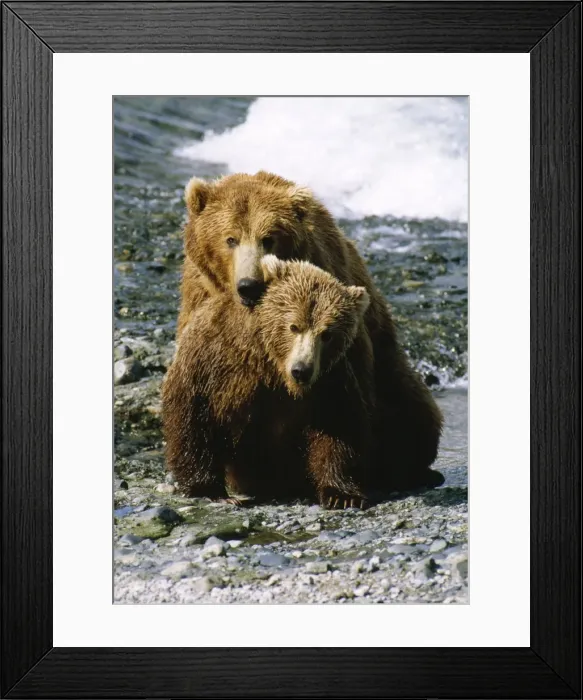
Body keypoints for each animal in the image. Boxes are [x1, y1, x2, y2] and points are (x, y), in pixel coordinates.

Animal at [163, 256, 376, 509]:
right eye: (294, 326)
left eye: (327, 334)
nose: (301, 370)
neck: (271, 365)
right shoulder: (213, 360)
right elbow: (194, 415)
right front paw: (211, 490)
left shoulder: (328, 381)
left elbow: (338, 427)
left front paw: (341, 495)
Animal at [176, 171, 444, 491]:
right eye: (230, 238)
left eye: (269, 238)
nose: (249, 285)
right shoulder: (202, 301)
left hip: (390, 366)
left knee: (412, 407)